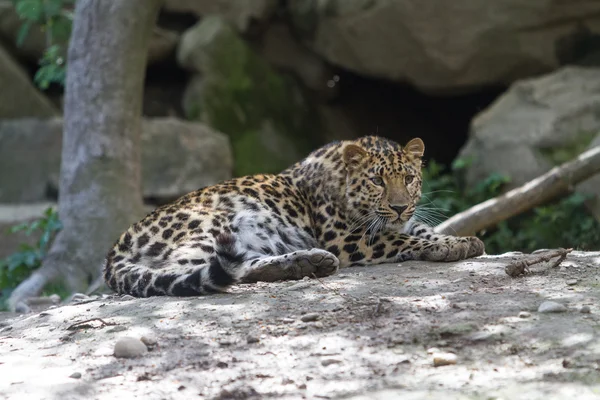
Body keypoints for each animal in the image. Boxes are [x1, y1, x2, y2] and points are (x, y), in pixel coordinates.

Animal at [104, 138, 482, 296]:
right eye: (377, 181)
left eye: (409, 178)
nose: (401, 206)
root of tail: (114, 250)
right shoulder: (346, 238)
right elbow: (401, 237)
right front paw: (447, 247)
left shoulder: (400, 221)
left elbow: (422, 229)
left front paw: (462, 240)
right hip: (211, 223)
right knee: (199, 273)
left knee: (240, 266)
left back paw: (306, 263)